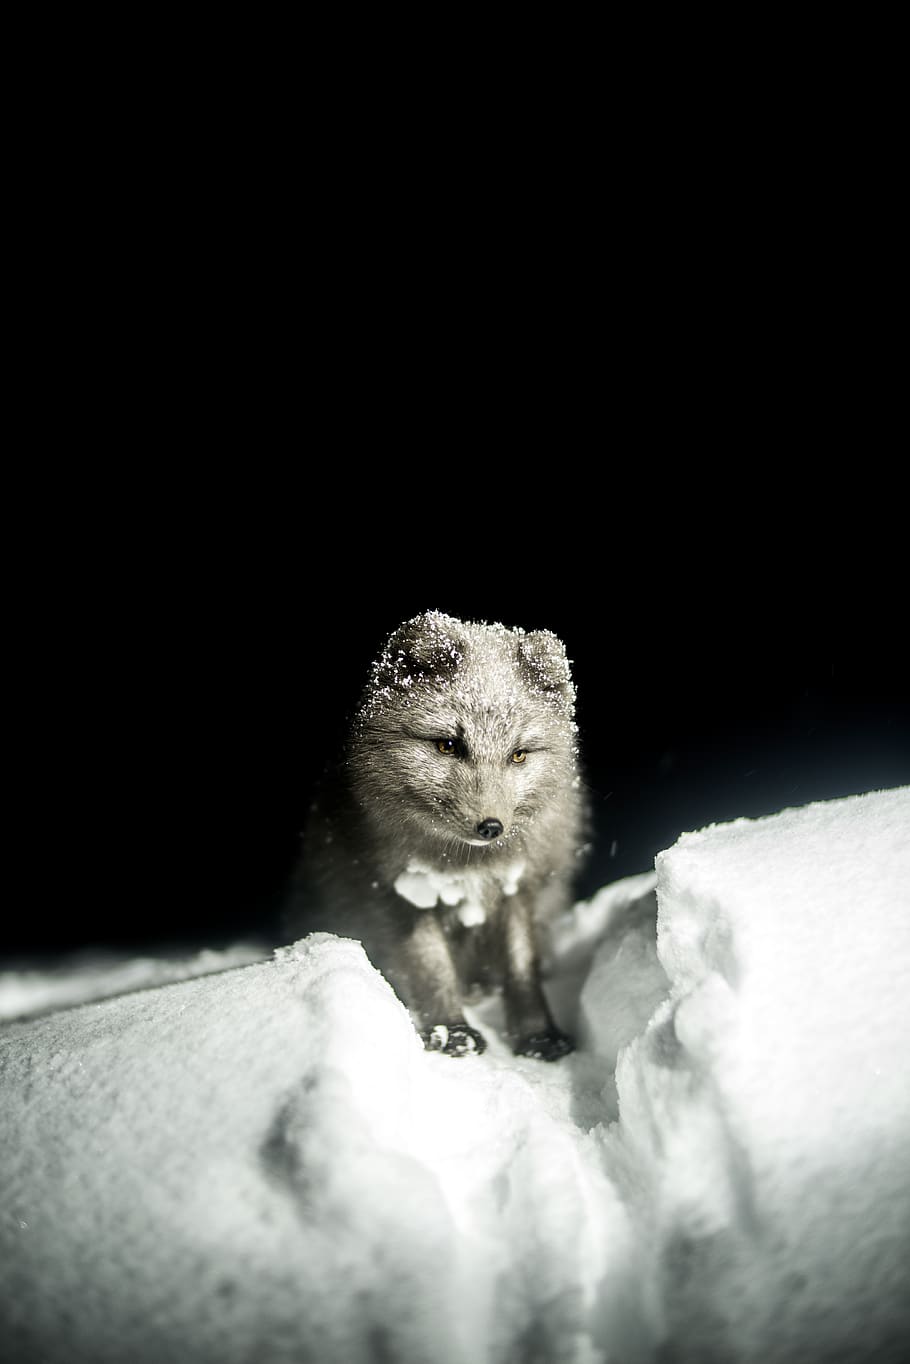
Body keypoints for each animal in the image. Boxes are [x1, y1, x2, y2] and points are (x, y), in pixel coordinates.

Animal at [284, 611, 586, 1060]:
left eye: (518, 754)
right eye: (447, 745)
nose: (490, 827)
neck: (466, 865)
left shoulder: (520, 886)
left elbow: (522, 967)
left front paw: (538, 1035)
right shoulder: (398, 893)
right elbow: (431, 965)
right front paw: (450, 1031)